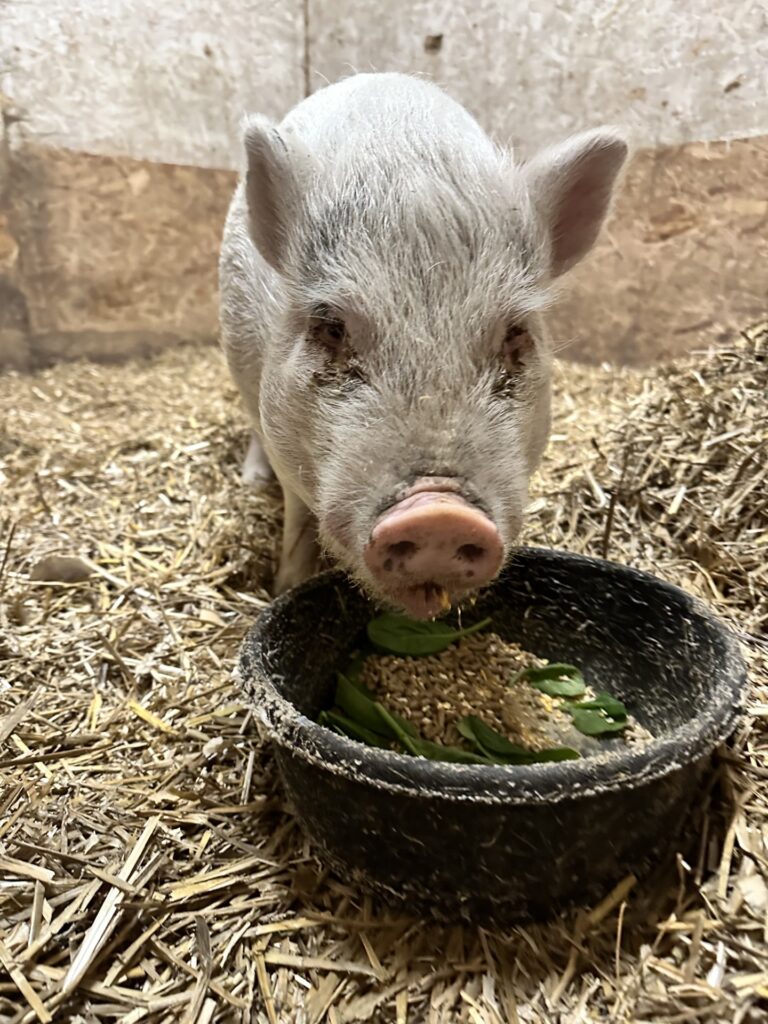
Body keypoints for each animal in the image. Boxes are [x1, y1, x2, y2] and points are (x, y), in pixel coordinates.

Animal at [219, 75, 626, 618]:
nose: (439, 515)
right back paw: (251, 480)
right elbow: (297, 522)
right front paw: (282, 588)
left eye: (516, 332)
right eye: (331, 326)